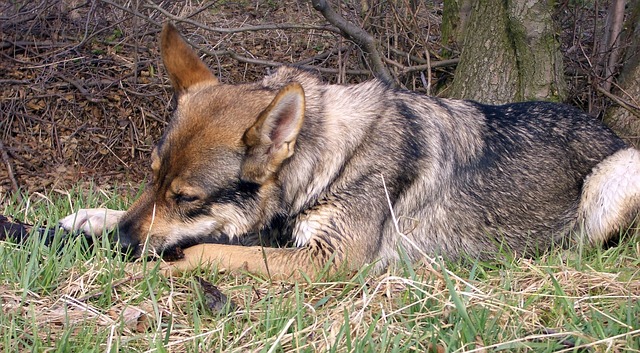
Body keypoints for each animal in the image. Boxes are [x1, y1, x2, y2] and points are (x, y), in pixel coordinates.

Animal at [58, 23, 640, 280]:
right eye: (151, 178)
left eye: (186, 198)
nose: (122, 244)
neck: (331, 159)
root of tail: (610, 133)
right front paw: (92, 219)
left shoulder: (328, 260)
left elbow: (207, 249)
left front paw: (158, 263)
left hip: (618, 174)